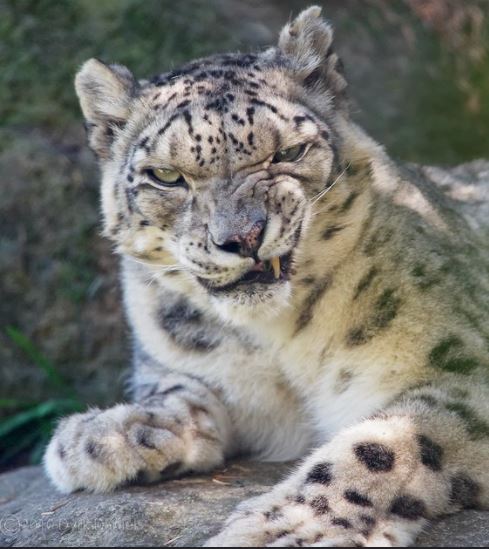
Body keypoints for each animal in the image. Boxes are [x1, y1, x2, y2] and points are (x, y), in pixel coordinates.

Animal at [44, 6, 489, 547]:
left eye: (289, 154)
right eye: (167, 176)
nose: (243, 237)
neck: (279, 339)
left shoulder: (460, 370)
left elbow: (383, 444)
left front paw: (286, 528)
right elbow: (180, 387)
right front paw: (100, 436)